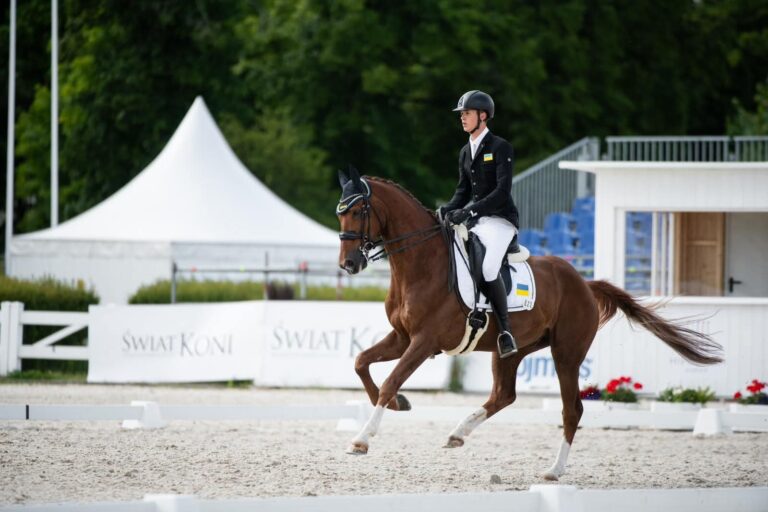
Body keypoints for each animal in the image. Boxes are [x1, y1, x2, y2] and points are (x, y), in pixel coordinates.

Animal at [335, 166, 722, 480]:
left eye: (357, 211)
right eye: (340, 213)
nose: (348, 264)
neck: (421, 264)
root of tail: (584, 283)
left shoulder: (424, 341)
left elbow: (390, 380)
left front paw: (361, 439)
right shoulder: (402, 337)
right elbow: (360, 363)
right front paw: (398, 404)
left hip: (567, 354)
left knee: (571, 409)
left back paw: (553, 471)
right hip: (511, 351)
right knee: (504, 395)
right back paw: (458, 433)